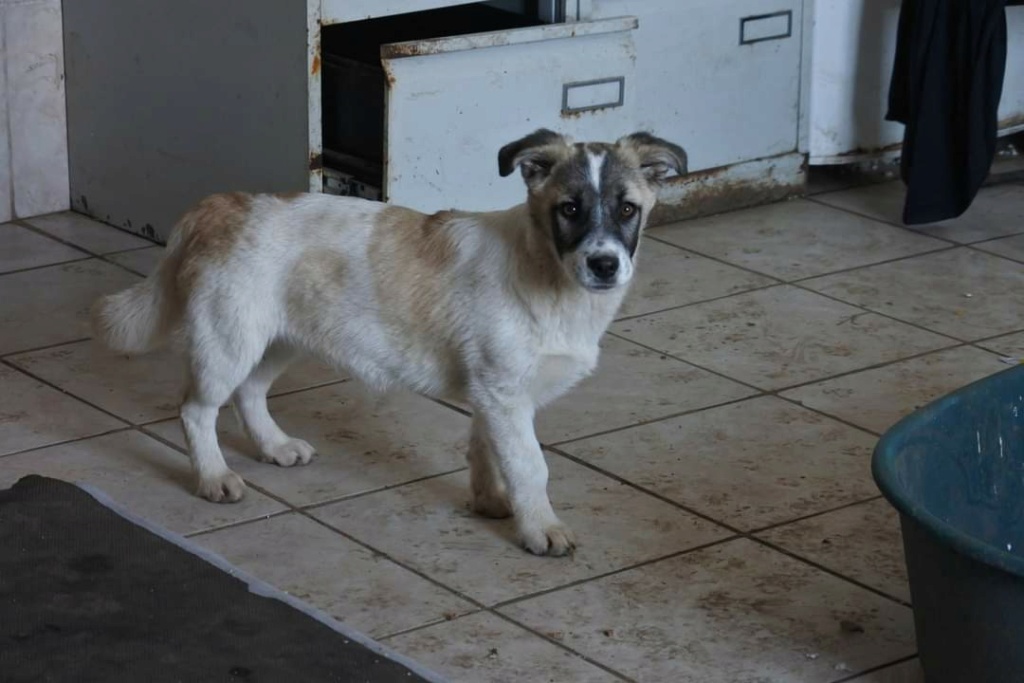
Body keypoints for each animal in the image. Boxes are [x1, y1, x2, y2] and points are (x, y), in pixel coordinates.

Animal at [94, 127, 688, 557]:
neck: (547, 272)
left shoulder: (490, 395)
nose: (605, 265)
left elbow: (484, 448)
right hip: (229, 338)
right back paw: (214, 476)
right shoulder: (505, 395)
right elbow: (529, 465)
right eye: (569, 209)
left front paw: (489, 501)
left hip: (278, 338)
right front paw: (539, 528)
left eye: (628, 209)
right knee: (196, 410)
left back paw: (274, 446)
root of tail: (221, 206)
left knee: (250, 393)